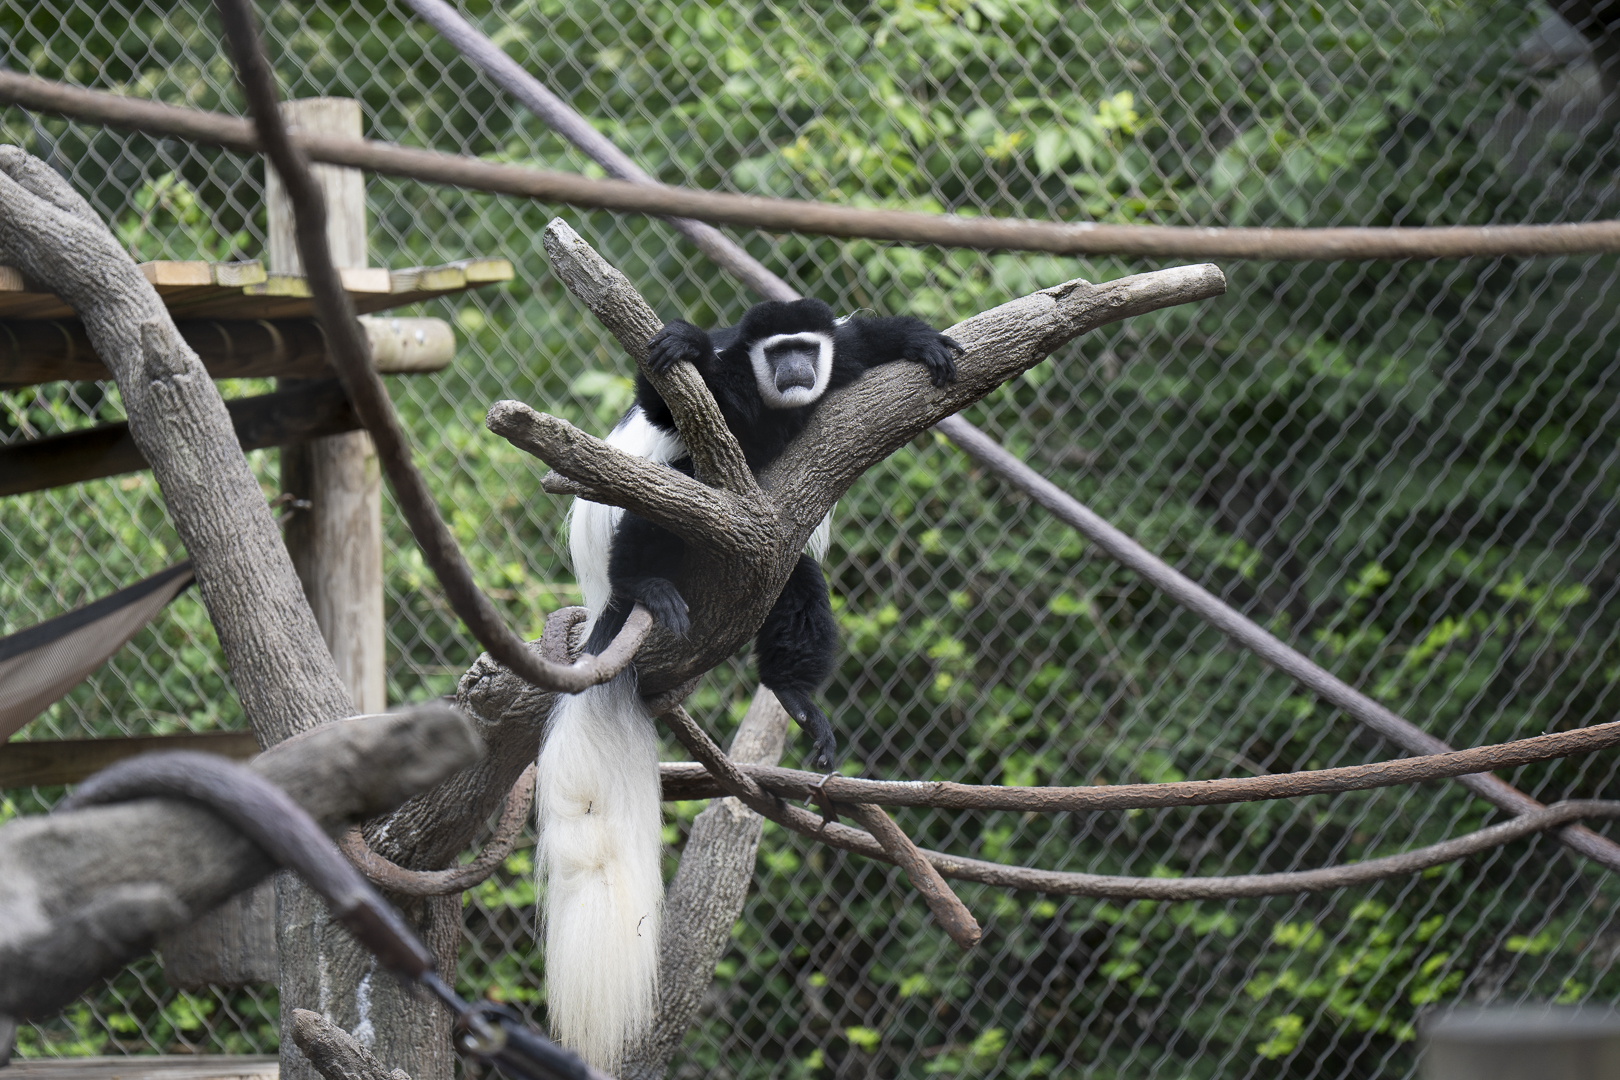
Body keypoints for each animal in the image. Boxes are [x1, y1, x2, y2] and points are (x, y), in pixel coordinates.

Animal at [535, 297, 960, 1070]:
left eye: (803, 350)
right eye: (776, 352)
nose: (794, 370)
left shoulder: (838, 361)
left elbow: (862, 339)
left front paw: (922, 342)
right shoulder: (723, 385)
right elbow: (666, 406)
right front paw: (682, 342)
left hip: (772, 573)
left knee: (798, 582)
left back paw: (794, 695)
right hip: (652, 537)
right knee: (667, 493)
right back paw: (646, 585)